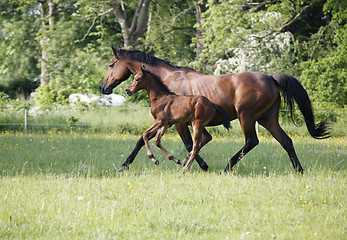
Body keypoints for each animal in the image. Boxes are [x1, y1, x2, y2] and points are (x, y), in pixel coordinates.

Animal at [100, 46, 328, 172]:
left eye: (111, 65)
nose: (103, 88)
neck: (167, 80)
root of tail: (270, 77)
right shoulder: (168, 121)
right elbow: (144, 138)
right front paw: (125, 164)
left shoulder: (178, 123)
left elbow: (187, 144)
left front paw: (197, 165)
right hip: (267, 119)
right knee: (286, 141)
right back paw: (299, 170)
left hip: (247, 117)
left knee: (251, 141)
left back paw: (227, 167)